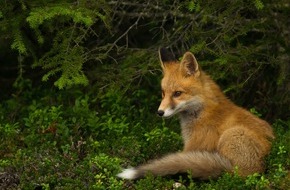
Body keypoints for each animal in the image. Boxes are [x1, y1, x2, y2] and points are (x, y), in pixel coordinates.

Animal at [116, 48, 274, 180]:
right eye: (163, 93)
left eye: (177, 93)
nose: (160, 112)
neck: (201, 111)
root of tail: (262, 166)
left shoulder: (192, 147)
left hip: (231, 135)